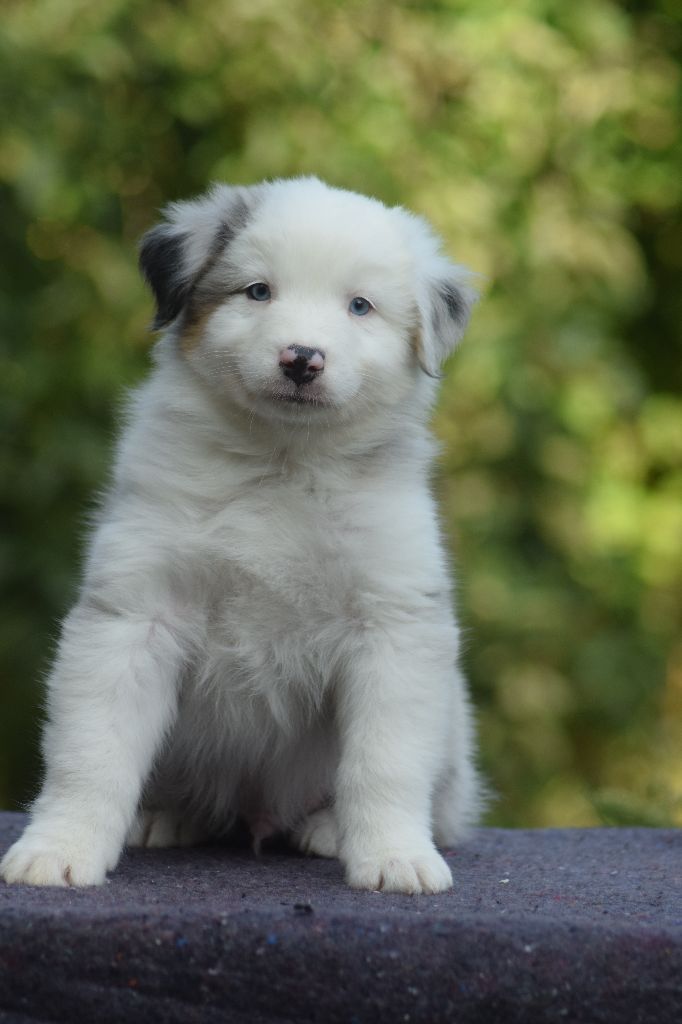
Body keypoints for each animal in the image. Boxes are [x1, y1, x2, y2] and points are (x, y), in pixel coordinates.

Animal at [1, 177, 481, 894]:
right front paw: (58, 850)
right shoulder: (134, 612)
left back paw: (329, 829)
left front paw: (395, 858)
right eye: (258, 291)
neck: (280, 462)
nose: (302, 359)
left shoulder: (393, 624)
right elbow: (92, 752)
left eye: (359, 306)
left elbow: (386, 761)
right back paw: (158, 815)